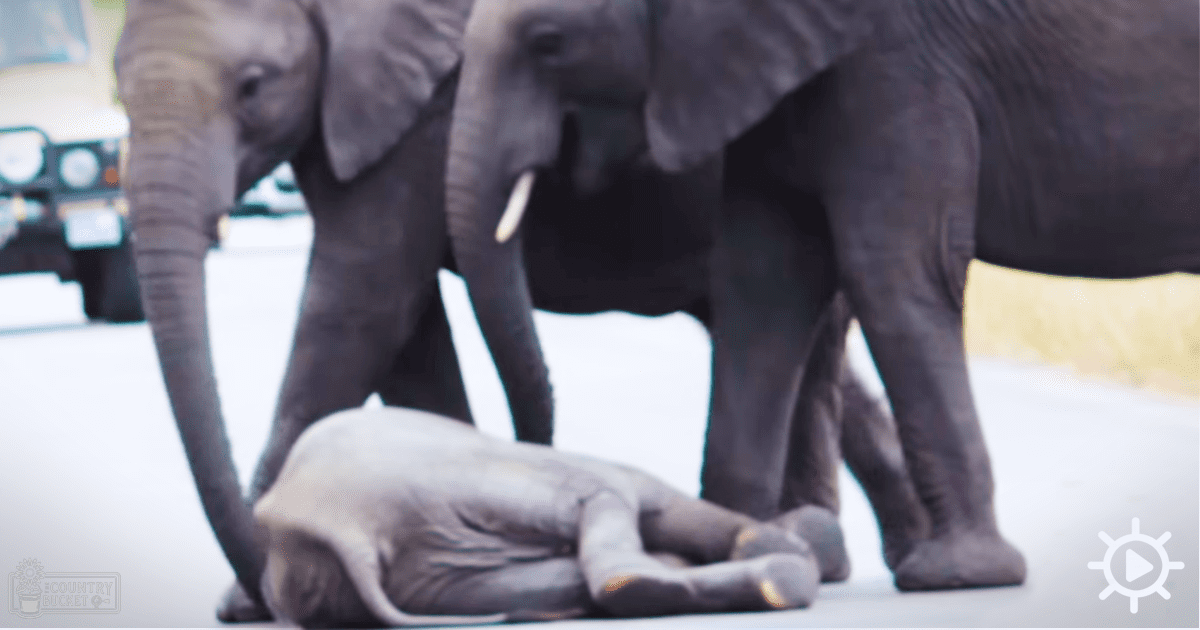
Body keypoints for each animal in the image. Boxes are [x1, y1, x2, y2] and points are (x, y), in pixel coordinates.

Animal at [257, 406, 822, 626]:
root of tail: (338, 524)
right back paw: (780, 574)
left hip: (431, 565)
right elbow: (655, 502)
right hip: (473, 483)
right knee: (602, 498)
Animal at [441, 0, 1199, 593]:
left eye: (549, 42)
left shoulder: (897, 63)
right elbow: (762, 282)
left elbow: (892, 270)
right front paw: (738, 552)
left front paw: (960, 576)